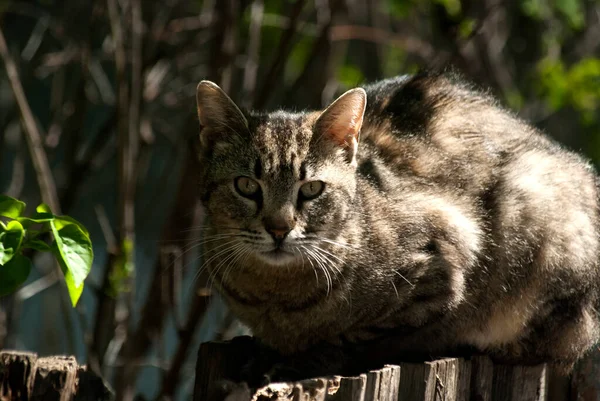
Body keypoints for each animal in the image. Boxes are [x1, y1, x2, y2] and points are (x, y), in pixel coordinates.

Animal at [195, 69, 596, 378]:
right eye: (247, 186)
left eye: (311, 189)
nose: (279, 229)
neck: (275, 298)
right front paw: (263, 350)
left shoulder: (449, 254)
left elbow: (355, 337)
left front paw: (304, 358)